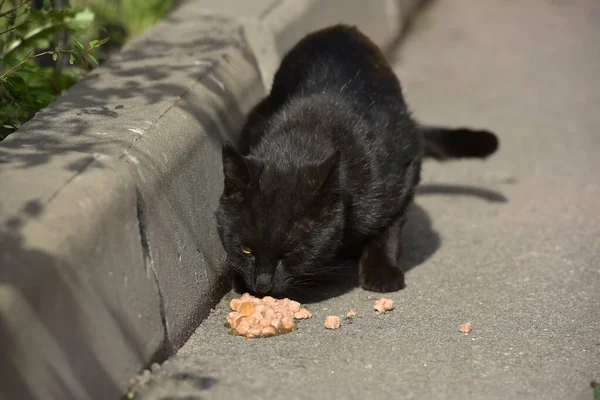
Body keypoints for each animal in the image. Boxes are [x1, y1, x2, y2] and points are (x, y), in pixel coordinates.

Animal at [216, 24, 496, 296]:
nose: (261, 285)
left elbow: (389, 228)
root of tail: (339, 28)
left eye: (290, 253)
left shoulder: (404, 170)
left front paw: (381, 271)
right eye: (245, 250)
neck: (302, 139)